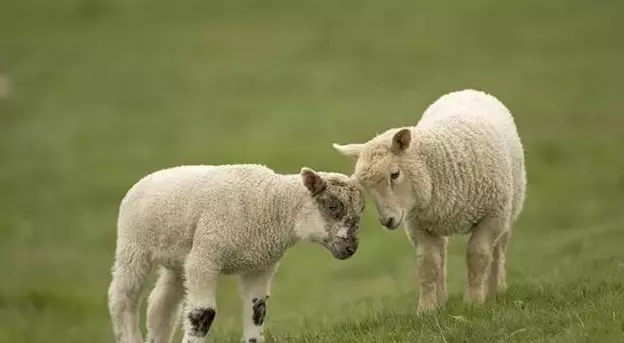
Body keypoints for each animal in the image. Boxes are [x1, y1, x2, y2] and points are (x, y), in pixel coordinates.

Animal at [105, 164, 364, 343]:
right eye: (332, 206)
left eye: (361, 211)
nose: (351, 248)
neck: (271, 204)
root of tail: (149, 177)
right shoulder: (205, 258)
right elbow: (203, 314)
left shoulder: (260, 266)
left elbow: (257, 310)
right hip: (133, 247)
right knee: (122, 299)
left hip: (179, 259)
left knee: (161, 305)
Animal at [332, 88, 528, 312]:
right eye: (365, 187)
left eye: (395, 174)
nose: (387, 221)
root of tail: (467, 91)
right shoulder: (418, 225)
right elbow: (428, 264)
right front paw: (427, 309)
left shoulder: (492, 216)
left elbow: (477, 255)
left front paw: (474, 301)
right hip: (436, 221)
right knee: (441, 256)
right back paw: (442, 300)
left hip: (509, 208)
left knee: (499, 248)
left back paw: (496, 290)